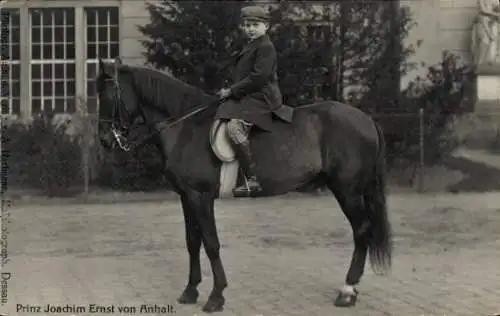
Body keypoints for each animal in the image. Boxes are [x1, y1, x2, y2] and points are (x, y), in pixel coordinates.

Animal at [95, 58, 392, 312]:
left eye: (109, 95)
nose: (105, 141)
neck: (185, 128)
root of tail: (366, 119)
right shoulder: (186, 197)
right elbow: (192, 242)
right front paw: (190, 291)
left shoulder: (201, 197)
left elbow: (211, 243)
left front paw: (216, 297)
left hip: (348, 190)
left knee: (361, 231)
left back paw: (347, 291)